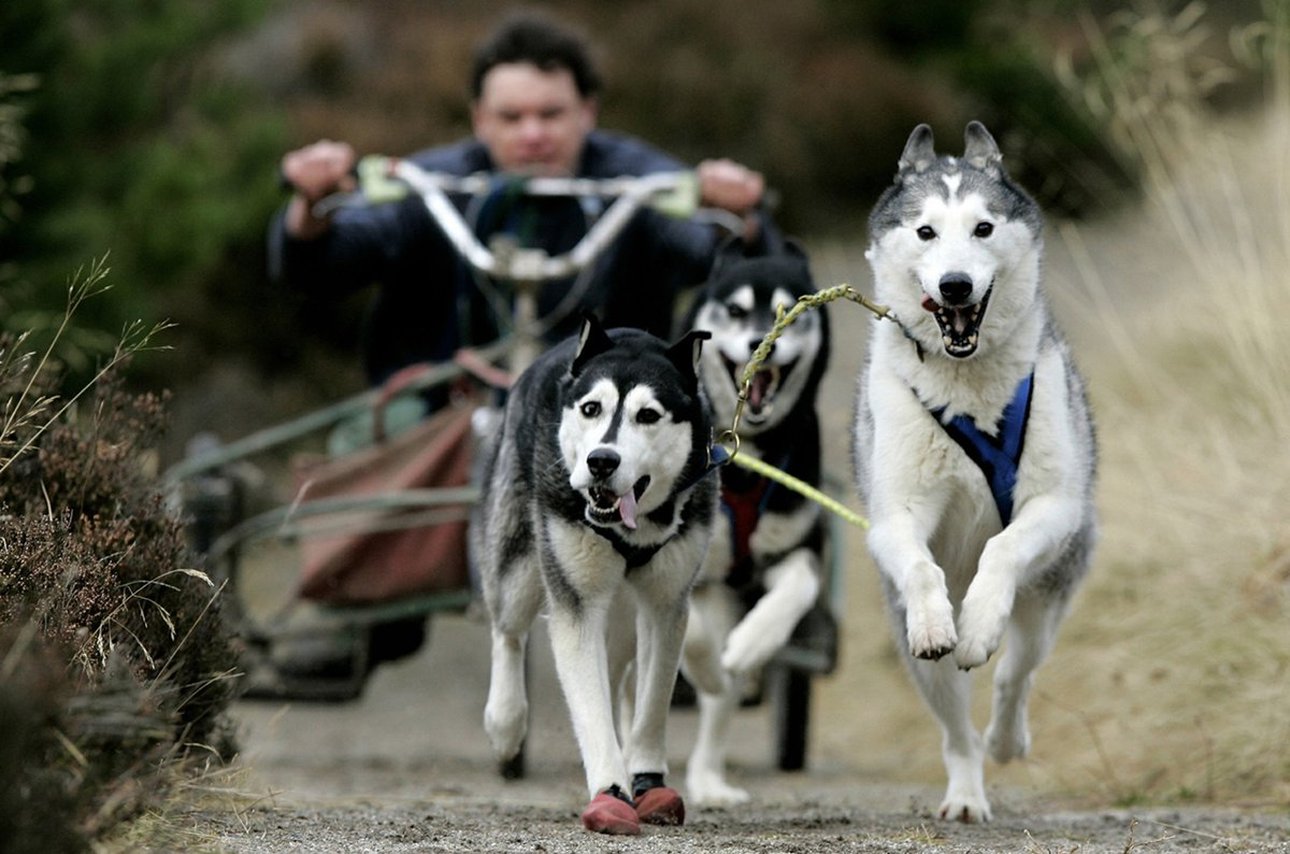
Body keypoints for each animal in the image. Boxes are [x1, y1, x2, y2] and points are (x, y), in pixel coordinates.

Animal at [472, 313, 717, 835]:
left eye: (648, 415)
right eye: (591, 408)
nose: (601, 461)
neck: (634, 529)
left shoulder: (667, 603)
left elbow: (652, 700)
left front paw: (645, 781)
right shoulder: (577, 602)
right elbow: (590, 705)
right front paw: (611, 791)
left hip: (623, 616)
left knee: (621, 667)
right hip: (519, 564)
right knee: (508, 631)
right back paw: (506, 723)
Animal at [681, 242, 830, 810]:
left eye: (791, 311)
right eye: (736, 310)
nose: (760, 344)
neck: (746, 458)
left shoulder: (799, 543)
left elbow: (798, 586)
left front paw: (751, 643)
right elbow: (694, 637)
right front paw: (706, 667)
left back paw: (707, 781)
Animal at [856, 121, 1099, 825]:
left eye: (984, 228)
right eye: (926, 232)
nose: (957, 286)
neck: (964, 385)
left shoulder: (1053, 506)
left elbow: (1002, 547)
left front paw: (979, 622)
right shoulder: (894, 515)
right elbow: (917, 563)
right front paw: (941, 622)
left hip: (1047, 600)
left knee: (1017, 673)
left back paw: (1005, 736)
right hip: (919, 658)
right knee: (955, 730)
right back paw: (966, 793)